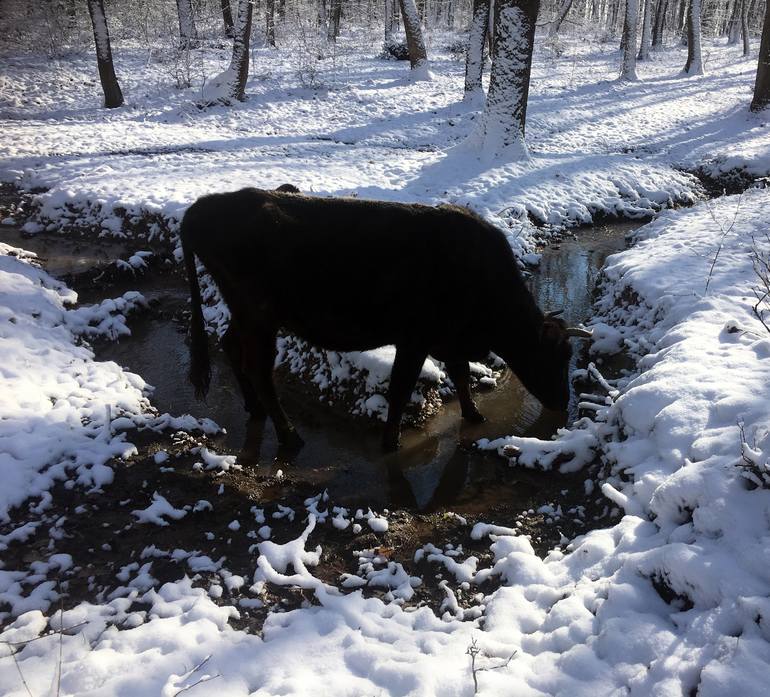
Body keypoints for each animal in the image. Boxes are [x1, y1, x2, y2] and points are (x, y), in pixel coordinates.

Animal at [180, 188, 588, 452]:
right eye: (554, 356)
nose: (562, 401)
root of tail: (203, 206)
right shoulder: (414, 339)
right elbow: (400, 388)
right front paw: (390, 442)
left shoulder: (448, 339)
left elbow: (459, 375)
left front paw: (474, 416)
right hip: (259, 317)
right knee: (260, 370)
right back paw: (289, 436)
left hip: (245, 315)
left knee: (231, 347)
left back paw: (255, 409)